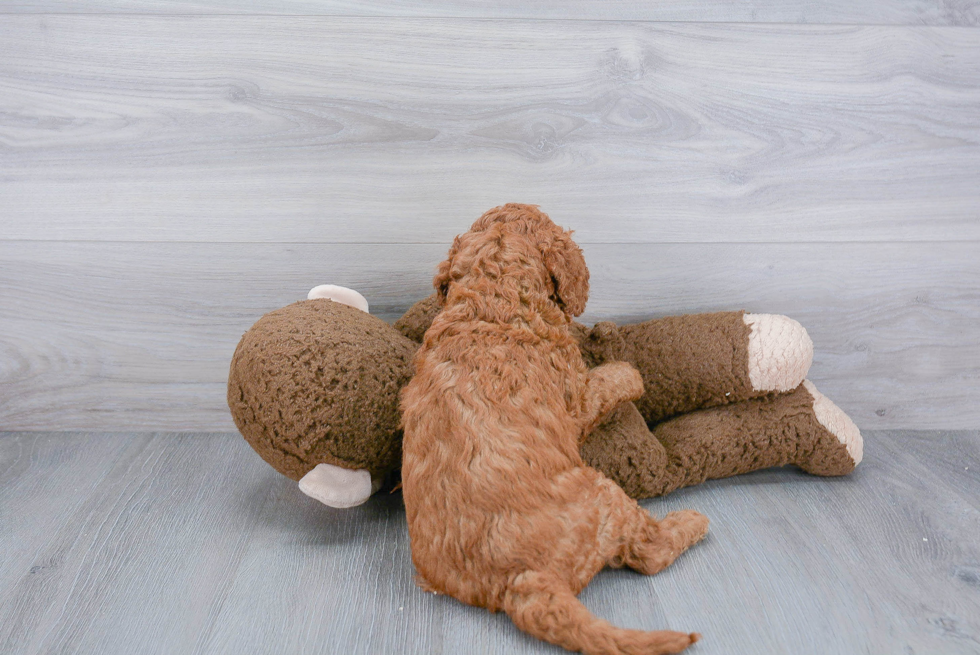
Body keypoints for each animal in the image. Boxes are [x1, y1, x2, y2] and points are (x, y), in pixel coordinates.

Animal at [402, 205, 708, 655]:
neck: (492, 300)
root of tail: (521, 581)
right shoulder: (577, 399)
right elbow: (614, 378)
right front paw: (630, 372)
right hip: (604, 493)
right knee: (648, 552)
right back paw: (691, 522)